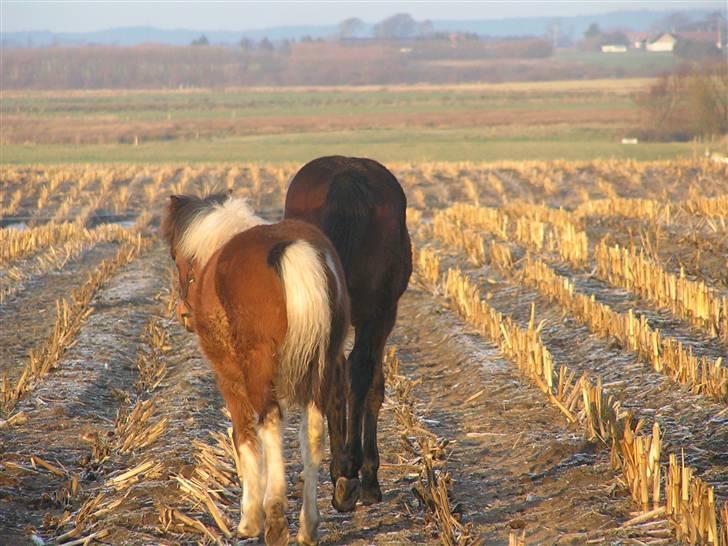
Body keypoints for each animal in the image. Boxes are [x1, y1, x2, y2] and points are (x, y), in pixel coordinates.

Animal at [160, 196, 352, 544]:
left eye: (175, 256)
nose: (183, 313)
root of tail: (293, 250)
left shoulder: (229, 380)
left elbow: (244, 438)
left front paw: (250, 519)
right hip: (324, 368)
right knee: (313, 432)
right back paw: (308, 526)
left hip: (258, 369)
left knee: (271, 424)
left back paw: (275, 517)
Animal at [282, 154, 410, 510]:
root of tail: (347, 176)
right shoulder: (384, 314)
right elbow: (374, 386)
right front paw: (367, 477)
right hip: (376, 312)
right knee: (358, 371)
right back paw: (350, 470)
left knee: (337, 373)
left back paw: (344, 470)